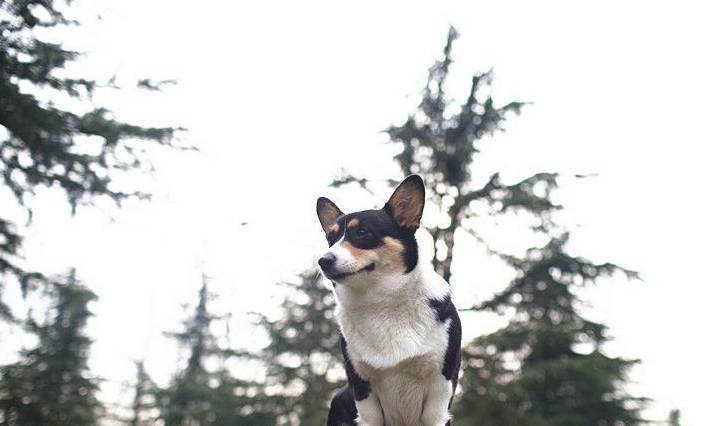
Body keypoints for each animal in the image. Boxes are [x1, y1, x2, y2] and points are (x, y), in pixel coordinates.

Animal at [318, 175, 464, 424]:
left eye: (362, 232)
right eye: (331, 238)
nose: (323, 261)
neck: (382, 303)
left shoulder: (439, 391)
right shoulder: (363, 391)